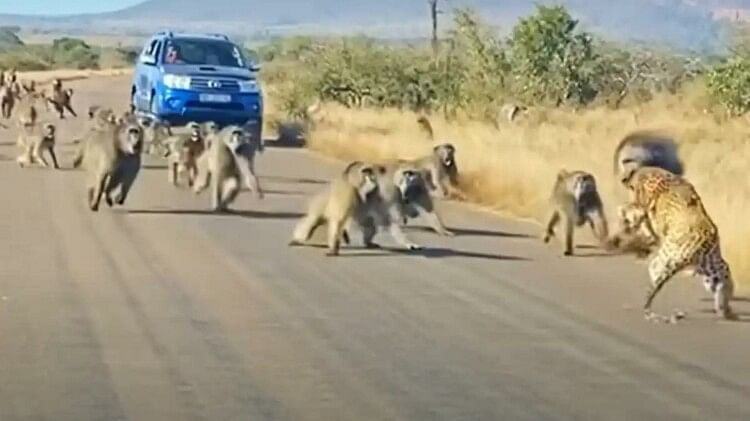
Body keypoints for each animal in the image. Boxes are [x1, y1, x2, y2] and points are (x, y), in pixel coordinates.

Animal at [624, 167, 736, 322]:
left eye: (632, 187)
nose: (627, 181)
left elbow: (641, 218)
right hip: (713, 267)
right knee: (721, 284)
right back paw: (725, 311)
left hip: (669, 257)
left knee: (655, 269)